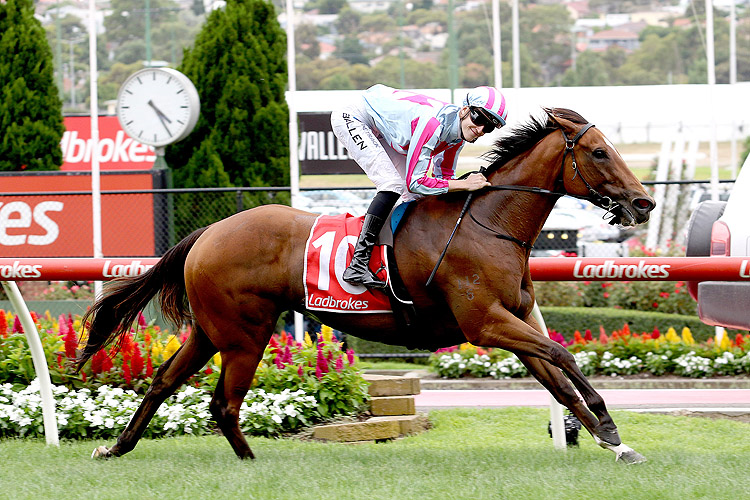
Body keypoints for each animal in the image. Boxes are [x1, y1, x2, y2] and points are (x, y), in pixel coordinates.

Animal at [75, 109, 652, 464]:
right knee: (224, 402)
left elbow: (556, 377)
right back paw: (249, 459)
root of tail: (209, 231)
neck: (489, 223)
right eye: (599, 152)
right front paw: (609, 427)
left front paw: (613, 441)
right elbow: (564, 355)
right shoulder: (486, 323)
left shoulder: (513, 320)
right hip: (244, 334)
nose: (643, 202)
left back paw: (117, 448)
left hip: (211, 330)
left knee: (164, 382)